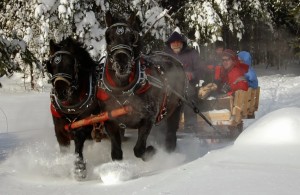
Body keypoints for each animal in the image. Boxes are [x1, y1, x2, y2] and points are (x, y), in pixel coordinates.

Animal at [45, 37, 99, 180]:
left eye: (70, 65)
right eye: (52, 66)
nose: (60, 92)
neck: (70, 107)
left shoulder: (84, 126)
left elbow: (78, 144)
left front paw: (79, 169)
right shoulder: (60, 132)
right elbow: (63, 150)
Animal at [97, 12, 188, 161]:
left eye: (132, 37)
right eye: (109, 38)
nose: (122, 63)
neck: (123, 90)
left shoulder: (147, 118)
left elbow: (139, 149)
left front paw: (151, 150)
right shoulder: (110, 122)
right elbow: (116, 153)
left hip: (176, 107)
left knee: (171, 134)